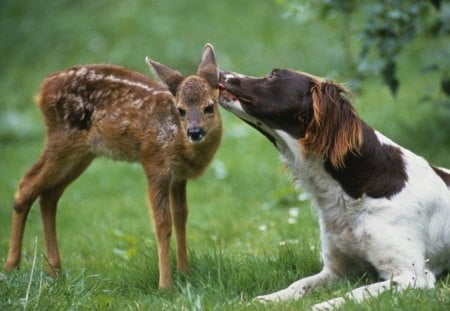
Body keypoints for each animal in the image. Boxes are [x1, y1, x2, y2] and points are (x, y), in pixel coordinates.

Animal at [3, 44, 221, 290]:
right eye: (181, 110)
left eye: (209, 107)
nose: (194, 132)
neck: (180, 143)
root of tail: (43, 89)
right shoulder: (154, 163)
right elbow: (163, 224)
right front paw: (165, 285)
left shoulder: (178, 177)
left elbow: (181, 218)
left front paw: (184, 273)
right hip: (62, 139)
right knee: (26, 185)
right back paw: (12, 266)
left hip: (82, 154)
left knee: (48, 195)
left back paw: (55, 270)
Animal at [218, 69, 450, 310]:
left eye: (274, 76)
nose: (221, 72)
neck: (353, 192)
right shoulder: (337, 270)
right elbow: (299, 284)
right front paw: (267, 299)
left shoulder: (412, 276)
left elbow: (356, 292)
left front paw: (321, 305)